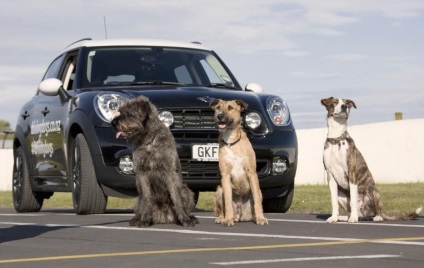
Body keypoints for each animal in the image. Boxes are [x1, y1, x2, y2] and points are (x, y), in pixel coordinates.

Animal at [210, 98, 266, 226]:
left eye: (230, 108)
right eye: (218, 108)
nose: (219, 116)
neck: (231, 142)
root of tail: (241, 215)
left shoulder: (252, 173)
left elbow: (256, 200)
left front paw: (261, 218)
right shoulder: (225, 175)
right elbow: (227, 201)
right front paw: (228, 219)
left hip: (260, 191)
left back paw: (254, 217)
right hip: (219, 190)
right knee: (222, 209)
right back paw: (223, 218)